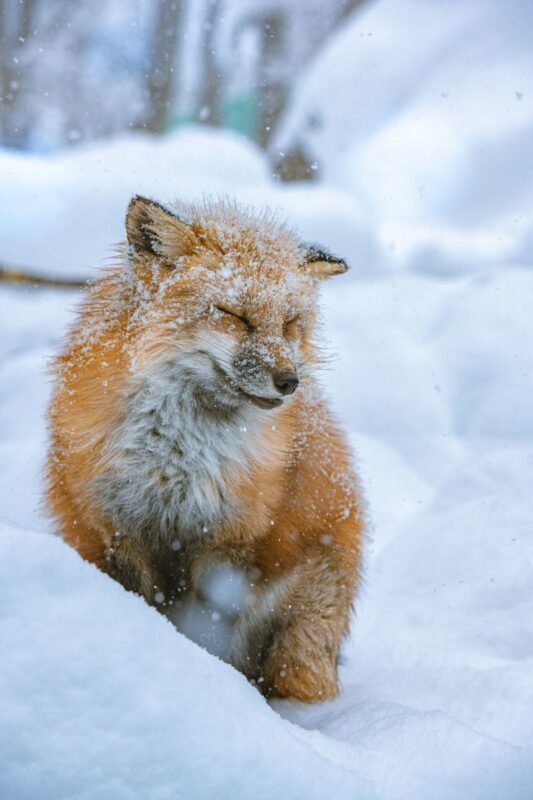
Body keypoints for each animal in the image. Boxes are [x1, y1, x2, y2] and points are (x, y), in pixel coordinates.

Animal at [46, 196, 365, 703]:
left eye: (289, 324)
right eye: (235, 315)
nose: (290, 382)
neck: (176, 457)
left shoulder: (230, 540)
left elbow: (208, 629)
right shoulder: (115, 526)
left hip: (301, 634)